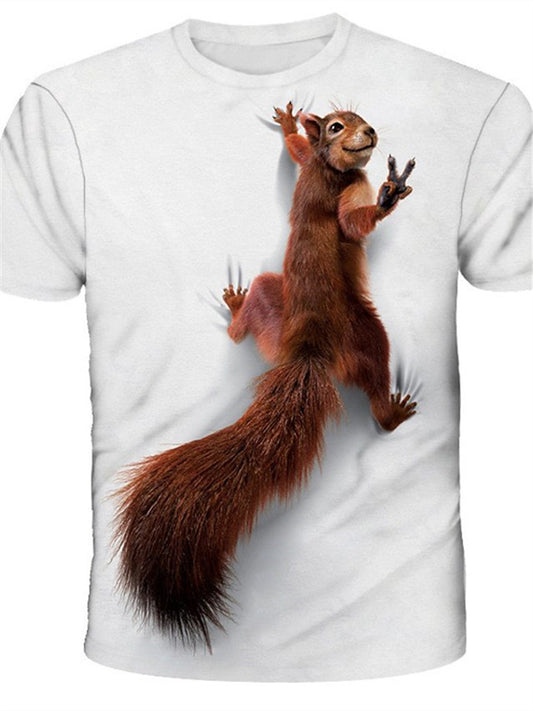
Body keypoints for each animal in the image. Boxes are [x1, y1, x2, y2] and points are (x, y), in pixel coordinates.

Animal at [112, 102, 416, 652]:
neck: (330, 169)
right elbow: (353, 224)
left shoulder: (310, 166)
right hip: (365, 332)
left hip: (272, 302)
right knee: (376, 381)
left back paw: (237, 312)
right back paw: (390, 411)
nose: (370, 133)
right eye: (337, 125)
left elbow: (295, 153)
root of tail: (307, 353)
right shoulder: (346, 193)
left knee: (247, 328)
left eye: (358, 117)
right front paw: (387, 195)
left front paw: (290, 125)